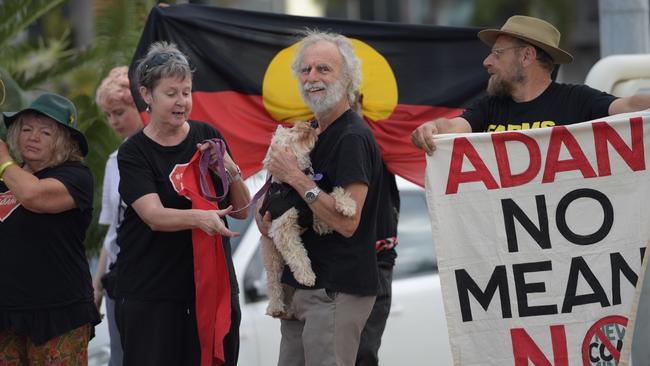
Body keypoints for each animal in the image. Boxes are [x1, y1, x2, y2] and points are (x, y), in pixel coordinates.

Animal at [258, 121, 354, 318]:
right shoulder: (282, 230)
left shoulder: (319, 219)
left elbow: (332, 197)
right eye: (291, 133)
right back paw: (276, 307)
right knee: (273, 283)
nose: (308, 123)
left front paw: (347, 204)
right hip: (271, 254)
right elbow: (297, 254)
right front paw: (307, 276)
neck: (291, 187)